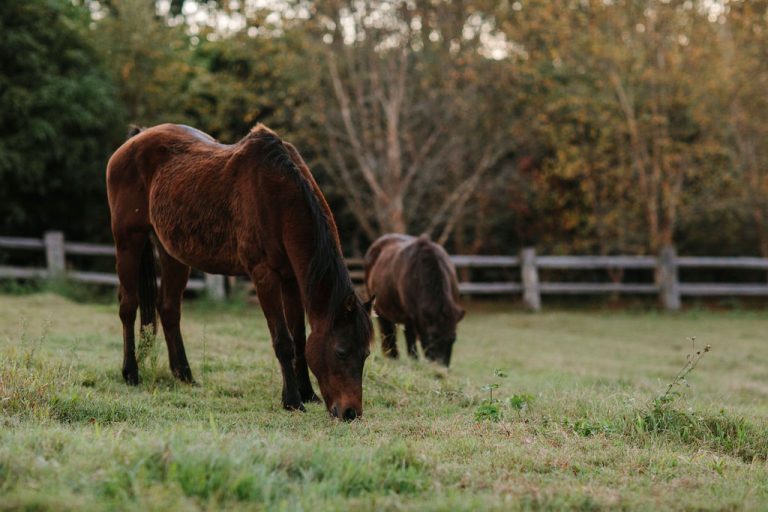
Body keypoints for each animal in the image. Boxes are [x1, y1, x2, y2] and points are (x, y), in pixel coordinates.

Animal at [106, 123, 373, 420]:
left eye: (365, 354)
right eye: (341, 351)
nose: (351, 412)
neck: (279, 197)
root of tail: (135, 139)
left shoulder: (291, 279)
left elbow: (300, 338)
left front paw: (307, 393)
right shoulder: (264, 275)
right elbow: (284, 341)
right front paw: (292, 400)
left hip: (172, 253)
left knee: (169, 309)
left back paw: (184, 375)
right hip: (128, 240)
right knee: (128, 306)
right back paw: (131, 373)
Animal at [364, 234, 464, 366]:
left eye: (453, 338)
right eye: (432, 337)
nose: (440, 367)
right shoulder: (410, 318)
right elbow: (411, 340)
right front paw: (414, 361)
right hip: (381, 312)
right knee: (388, 333)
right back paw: (393, 358)